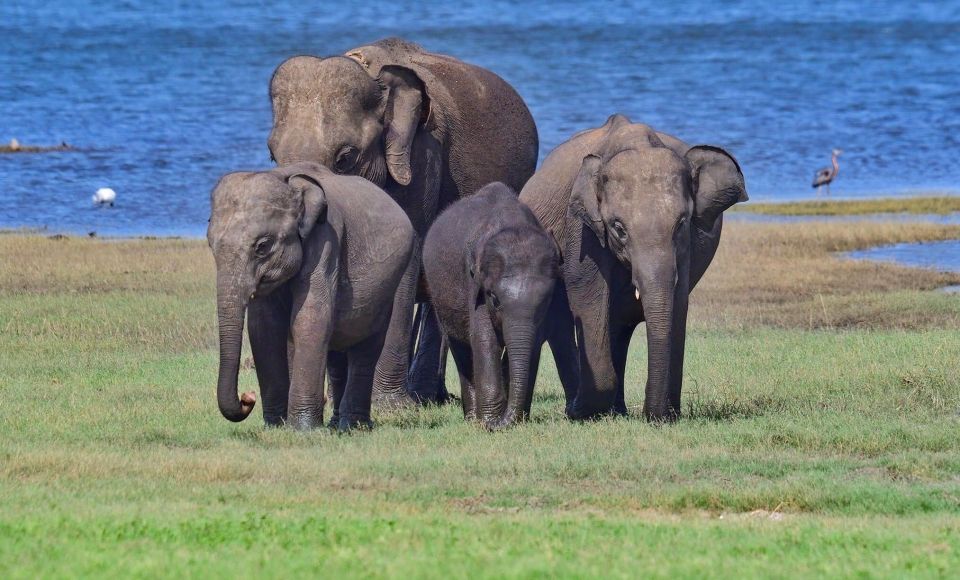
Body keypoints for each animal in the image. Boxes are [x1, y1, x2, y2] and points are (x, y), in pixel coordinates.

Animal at [206, 161, 416, 428]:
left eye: (262, 246)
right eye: (210, 244)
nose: (248, 397)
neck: (287, 180)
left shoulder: (326, 239)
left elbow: (311, 320)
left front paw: (302, 429)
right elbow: (264, 328)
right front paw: (275, 426)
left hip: (389, 285)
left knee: (367, 347)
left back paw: (354, 426)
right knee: (337, 347)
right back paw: (337, 424)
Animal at [268, 38, 540, 406]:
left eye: (345, 158)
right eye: (272, 154)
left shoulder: (422, 157)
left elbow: (405, 259)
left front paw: (388, 407)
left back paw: (425, 396)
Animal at [422, 184, 564, 428]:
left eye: (546, 300)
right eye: (494, 298)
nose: (500, 422)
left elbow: (533, 343)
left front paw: (515, 421)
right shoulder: (474, 281)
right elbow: (484, 338)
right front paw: (489, 422)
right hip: (440, 298)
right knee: (459, 347)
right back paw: (472, 419)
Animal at [516, 113, 752, 422]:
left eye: (681, 224)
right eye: (619, 229)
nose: (653, 415)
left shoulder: (685, 247)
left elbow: (678, 303)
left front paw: (666, 416)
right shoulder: (581, 224)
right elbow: (588, 299)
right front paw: (582, 411)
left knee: (619, 324)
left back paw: (616, 410)